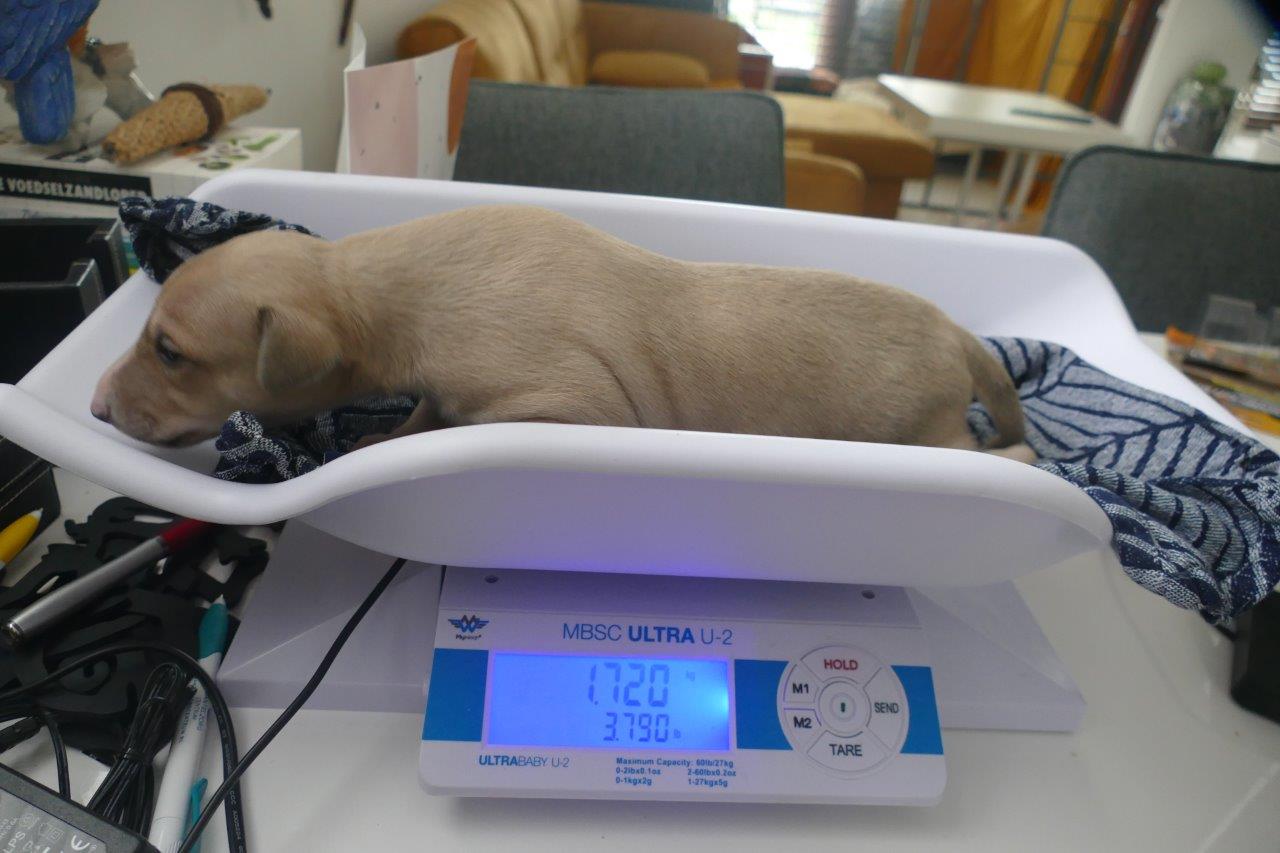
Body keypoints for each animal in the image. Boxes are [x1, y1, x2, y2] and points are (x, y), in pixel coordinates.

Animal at [91, 205, 1030, 460]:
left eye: (170, 351)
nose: (96, 406)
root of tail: (959, 335)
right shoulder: (440, 383)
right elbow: (421, 415)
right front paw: (376, 440)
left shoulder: (574, 402)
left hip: (927, 430)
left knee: (1003, 452)